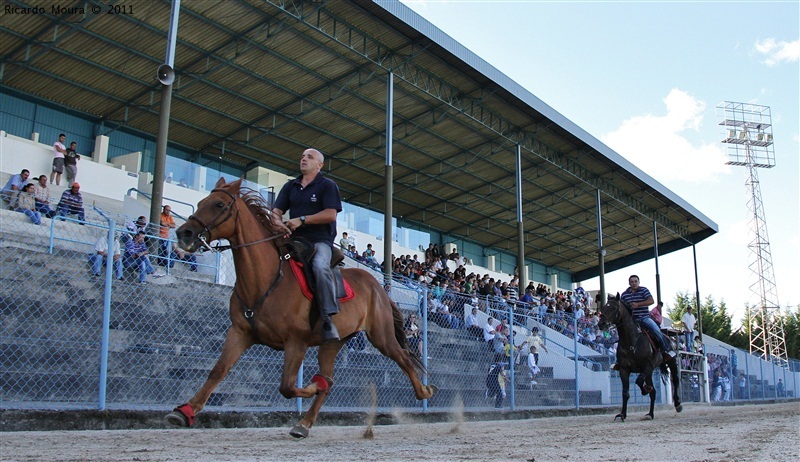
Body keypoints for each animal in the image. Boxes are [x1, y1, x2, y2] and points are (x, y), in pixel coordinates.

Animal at [164, 177, 438, 436]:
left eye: (219, 205)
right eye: (201, 203)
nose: (184, 234)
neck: (266, 279)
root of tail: (378, 286)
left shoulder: (296, 341)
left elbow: (287, 386)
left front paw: (312, 385)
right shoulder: (240, 332)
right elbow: (218, 371)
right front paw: (185, 411)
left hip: (380, 335)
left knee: (403, 357)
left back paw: (424, 391)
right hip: (332, 342)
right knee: (331, 379)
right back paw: (304, 423)